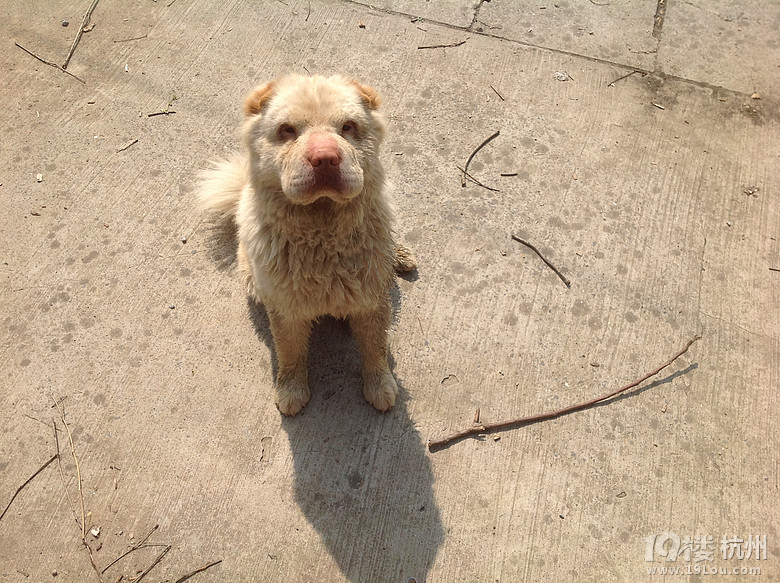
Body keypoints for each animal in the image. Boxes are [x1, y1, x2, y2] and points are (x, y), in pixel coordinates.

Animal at [200, 75, 414, 418]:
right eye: (287, 130)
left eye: (348, 127)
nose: (325, 158)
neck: (323, 233)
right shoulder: (286, 311)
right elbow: (290, 353)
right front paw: (291, 389)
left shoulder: (372, 301)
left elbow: (374, 347)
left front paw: (379, 385)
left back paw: (400, 256)